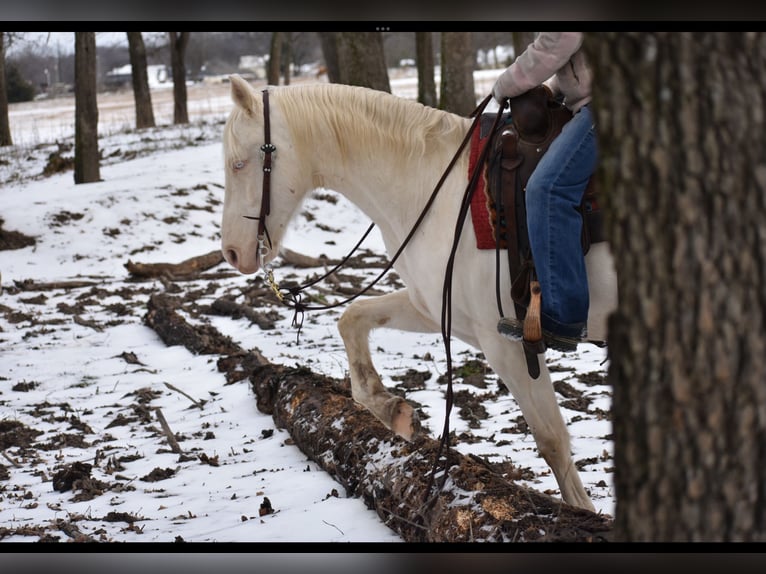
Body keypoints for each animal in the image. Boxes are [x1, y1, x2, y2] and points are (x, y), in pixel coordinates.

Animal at [220, 75, 618, 511]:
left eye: (239, 163)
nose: (232, 252)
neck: (432, 189)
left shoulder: (507, 342)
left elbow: (552, 441)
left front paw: (580, 513)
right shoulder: (435, 309)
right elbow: (352, 319)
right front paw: (389, 407)